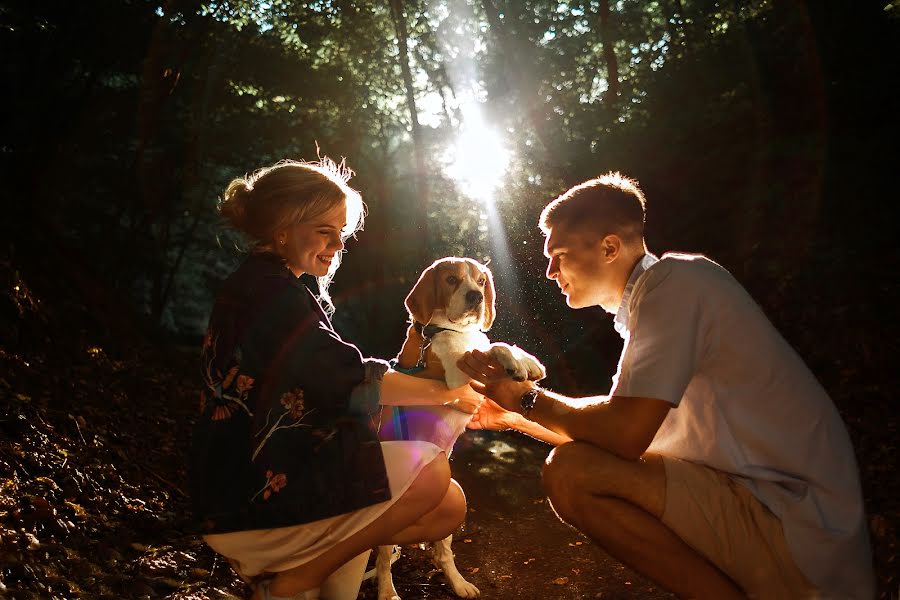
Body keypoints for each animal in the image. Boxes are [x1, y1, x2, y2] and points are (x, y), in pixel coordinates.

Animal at [374, 258, 544, 600]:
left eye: (481, 281)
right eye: (452, 280)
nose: (476, 297)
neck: (453, 331)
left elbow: (495, 344)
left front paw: (528, 362)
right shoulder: (455, 376)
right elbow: (494, 347)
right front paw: (515, 363)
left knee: (443, 555)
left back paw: (459, 584)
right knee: (384, 560)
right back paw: (387, 592)